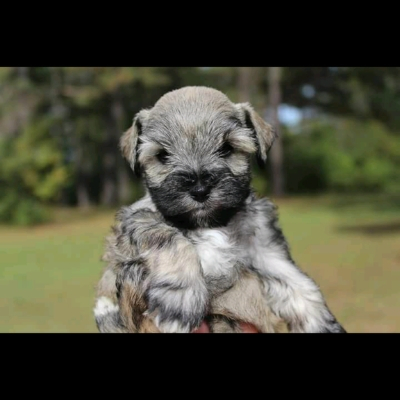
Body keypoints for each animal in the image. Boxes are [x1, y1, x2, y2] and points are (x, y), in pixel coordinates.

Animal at [94, 87, 346, 334]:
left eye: (227, 148)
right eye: (162, 155)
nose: (199, 189)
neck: (211, 224)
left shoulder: (266, 251)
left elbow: (298, 284)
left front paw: (323, 325)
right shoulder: (135, 222)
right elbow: (169, 238)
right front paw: (181, 299)